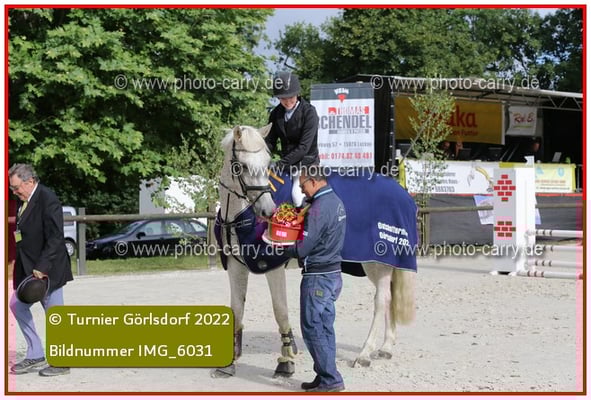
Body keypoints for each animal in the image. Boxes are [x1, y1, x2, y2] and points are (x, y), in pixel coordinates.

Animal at [213, 124, 417, 379]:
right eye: (243, 166)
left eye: (267, 163)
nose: (269, 211)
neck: (238, 215)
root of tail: (401, 192)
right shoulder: (236, 265)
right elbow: (237, 309)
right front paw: (229, 364)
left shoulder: (272, 265)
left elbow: (280, 310)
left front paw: (286, 361)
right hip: (376, 264)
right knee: (388, 296)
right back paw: (386, 347)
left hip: (377, 261)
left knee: (382, 300)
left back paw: (364, 354)